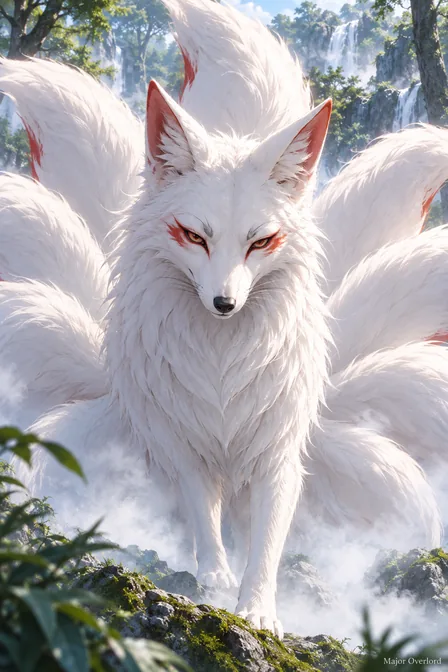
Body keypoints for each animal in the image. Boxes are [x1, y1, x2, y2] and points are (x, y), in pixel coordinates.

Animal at [1, 0, 448, 638]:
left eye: (262, 241)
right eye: (194, 235)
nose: (224, 304)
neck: (222, 365)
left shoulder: (280, 455)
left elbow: (268, 540)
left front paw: (258, 612)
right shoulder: (180, 445)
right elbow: (202, 518)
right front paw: (212, 585)